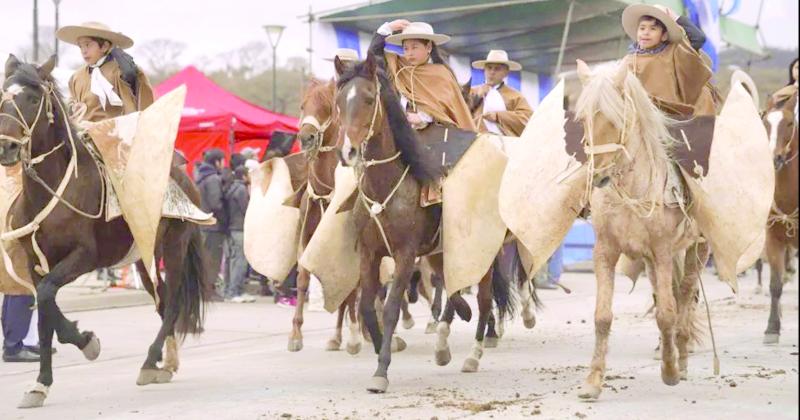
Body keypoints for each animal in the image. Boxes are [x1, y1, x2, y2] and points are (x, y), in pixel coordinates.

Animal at [0, 54, 212, 408]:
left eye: (31, 98)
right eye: (3, 94)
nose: (6, 147)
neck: (52, 188)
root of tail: (184, 178)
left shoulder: (85, 257)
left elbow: (46, 298)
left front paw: (86, 342)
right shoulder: (34, 262)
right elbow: (45, 309)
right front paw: (42, 383)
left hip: (173, 245)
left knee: (173, 303)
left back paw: (150, 361)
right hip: (143, 255)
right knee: (162, 299)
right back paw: (165, 362)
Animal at [572, 61, 708, 400]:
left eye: (617, 118)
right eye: (583, 119)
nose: (599, 176)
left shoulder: (662, 251)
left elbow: (667, 313)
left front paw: (670, 371)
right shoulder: (606, 251)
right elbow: (603, 316)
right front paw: (593, 380)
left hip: (697, 249)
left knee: (684, 296)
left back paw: (681, 359)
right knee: (667, 294)